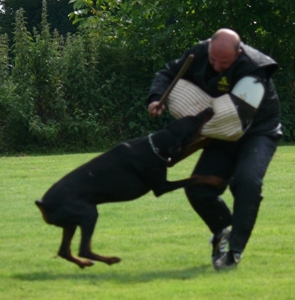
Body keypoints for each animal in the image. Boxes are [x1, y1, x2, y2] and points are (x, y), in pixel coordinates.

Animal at [35, 108, 224, 270]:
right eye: (194, 121)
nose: (209, 109)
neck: (155, 144)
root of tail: (42, 204)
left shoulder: (169, 158)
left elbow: (193, 147)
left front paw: (211, 139)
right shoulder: (161, 186)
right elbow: (193, 178)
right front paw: (215, 180)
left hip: (70, 223)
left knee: (64, 251)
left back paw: (84, 263)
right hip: (87, 213)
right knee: (84, 249)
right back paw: (110, 259)